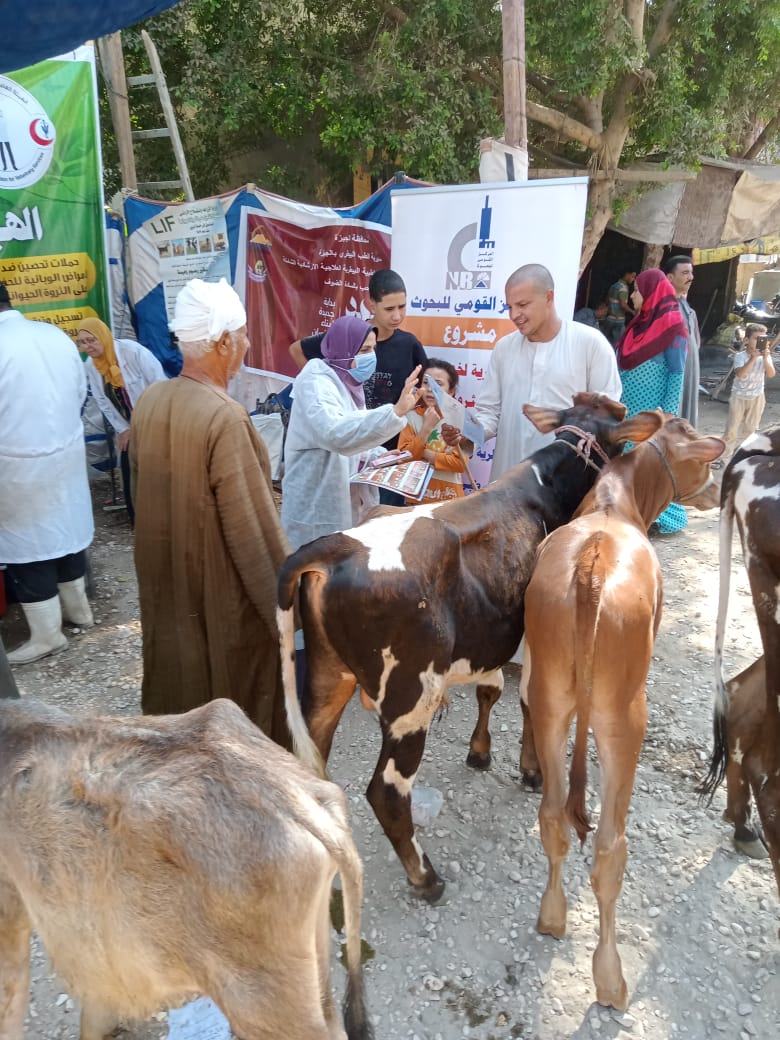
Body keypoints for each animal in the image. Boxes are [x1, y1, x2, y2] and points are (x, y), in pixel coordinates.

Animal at [278, 393, 661, 898]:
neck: (544, 484)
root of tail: (334, 548)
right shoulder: (533, 637)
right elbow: (527, 701)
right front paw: (530, 769)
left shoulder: (490, 634)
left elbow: (491, 690)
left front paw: (480, 751)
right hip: (409, 696)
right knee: (386, 791)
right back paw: (426, 878)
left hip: (327, 675)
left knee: (309, 762)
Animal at [522, 413, 723, 1006]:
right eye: (699, 451)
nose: (715, 488)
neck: (617, 500)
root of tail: (590, 567)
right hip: (624, 718)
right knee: (611, 846)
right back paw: (610, 978)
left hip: (550, 698)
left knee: (553, 815)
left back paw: (552, 917)